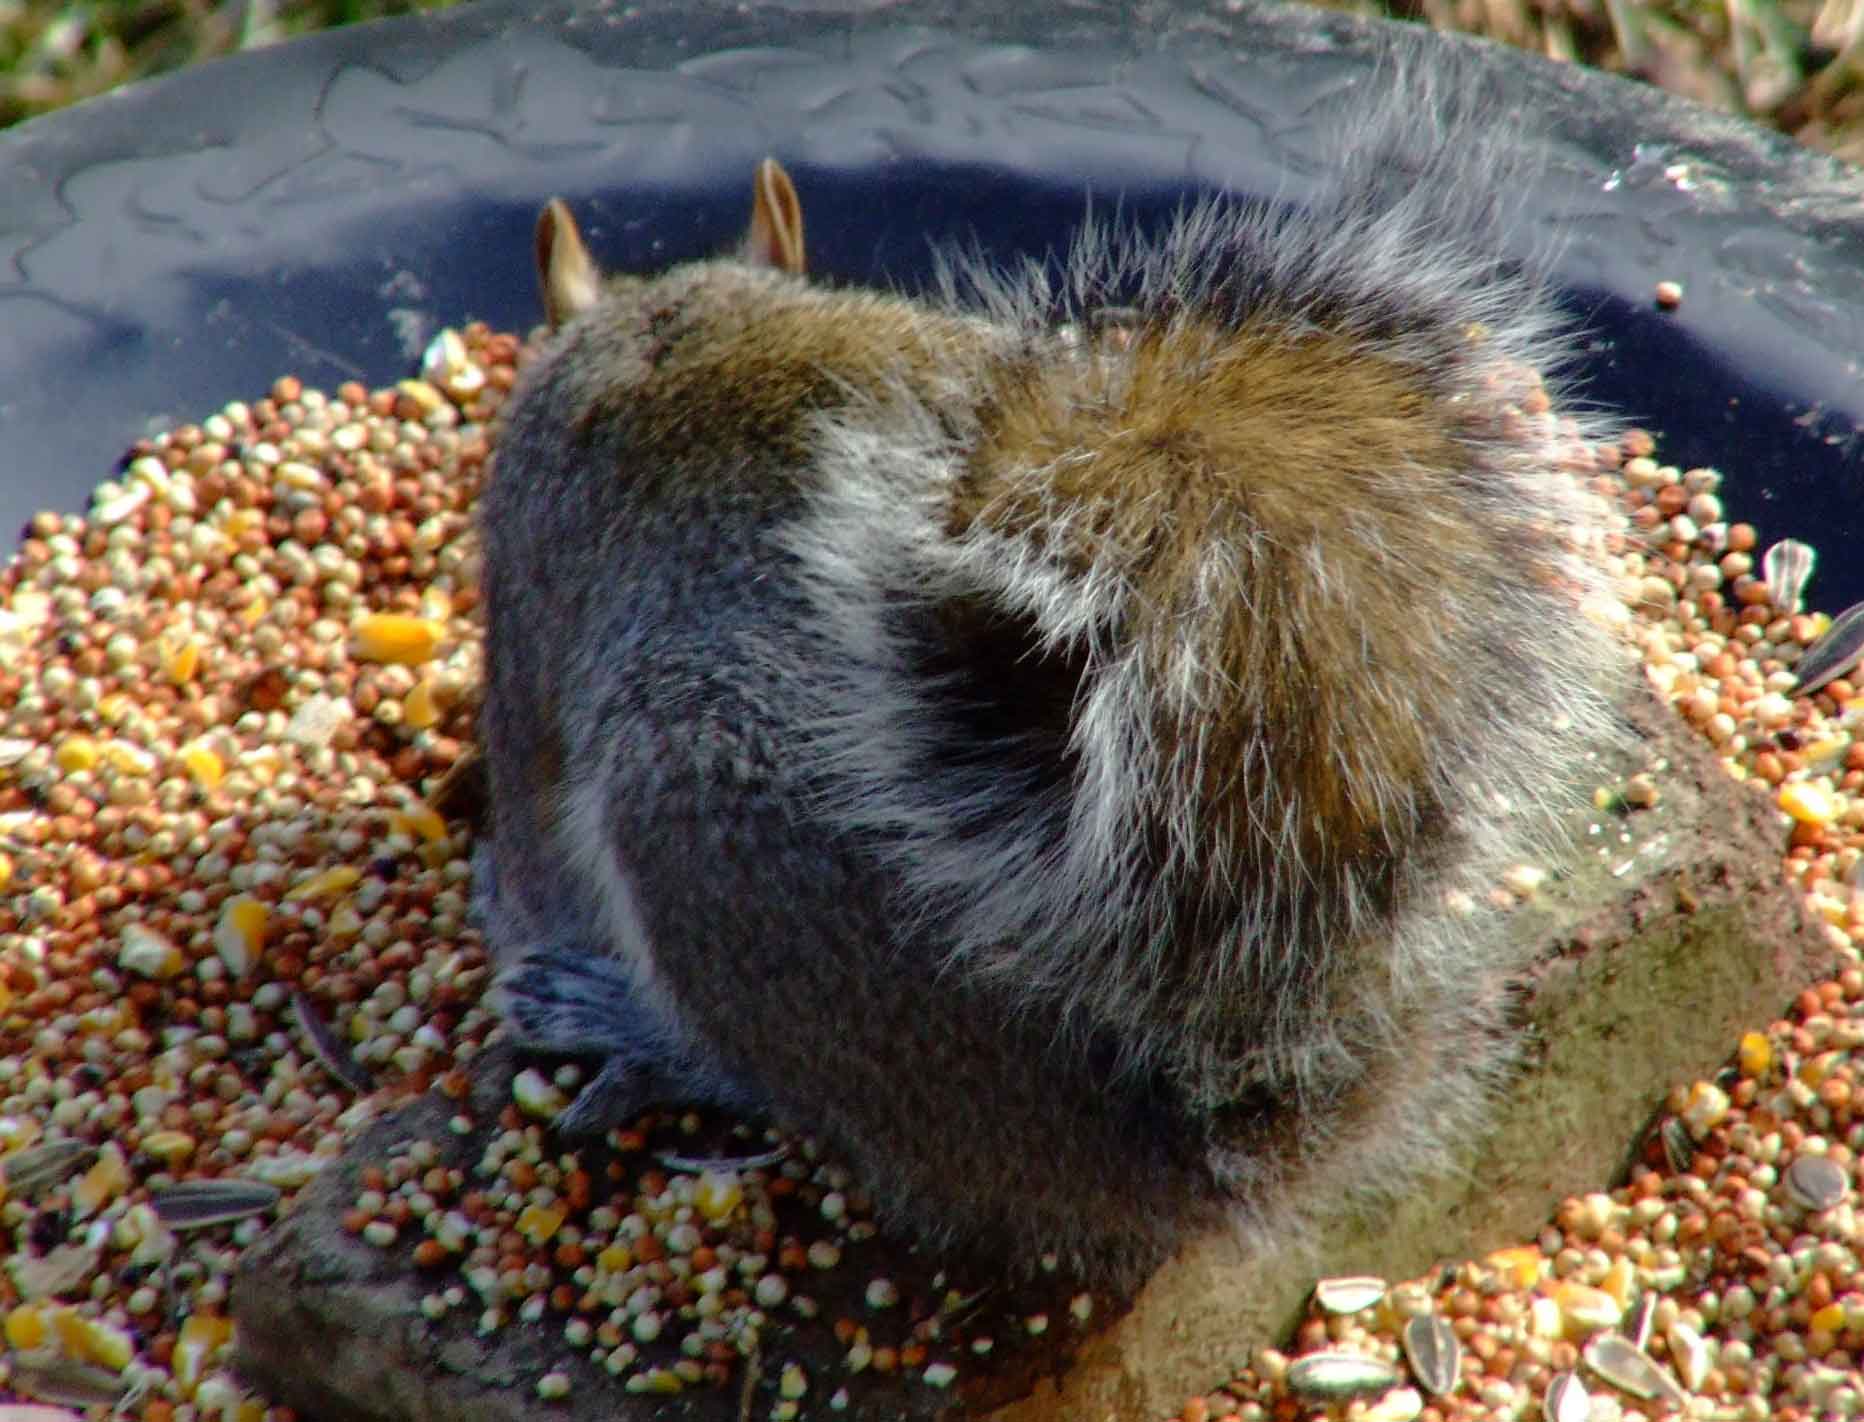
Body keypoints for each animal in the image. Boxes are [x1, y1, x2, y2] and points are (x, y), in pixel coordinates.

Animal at [477, 61, 1632, 1289]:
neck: (667, 325)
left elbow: (535, 842)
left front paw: (499, 893)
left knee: (777, 1081)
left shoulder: (525, 606)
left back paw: (629, 1025)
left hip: (695, 795)